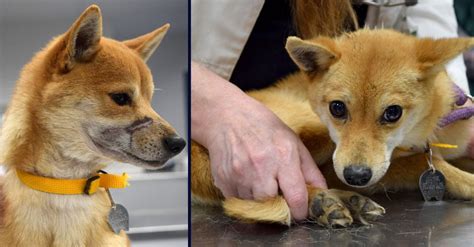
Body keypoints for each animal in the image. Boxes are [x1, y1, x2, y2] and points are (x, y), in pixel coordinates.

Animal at [191, 28, 474, 226]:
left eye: (393, 112)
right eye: (337, 108)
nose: (356, 176)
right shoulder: (336, 167)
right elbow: (423, 162)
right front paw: (467, 180)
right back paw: (325, 201)